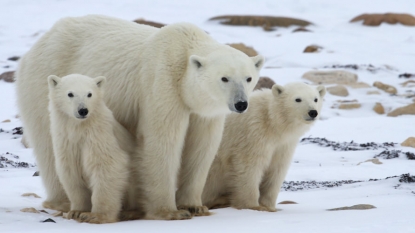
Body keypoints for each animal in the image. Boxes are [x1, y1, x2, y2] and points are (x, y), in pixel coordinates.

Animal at [48, 74, 135, 224]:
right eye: (70, 94)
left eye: (89, 94)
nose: (83, 110)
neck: (79, 127)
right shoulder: (66, 142)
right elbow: (71, 172)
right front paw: (76, 211)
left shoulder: (99, 136)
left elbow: (107, 166)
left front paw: (95, 216)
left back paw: (130, 212)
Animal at [203, 82, 326, 211]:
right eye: (298, 99)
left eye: (316, 99)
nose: (312, 112)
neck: (271, 121)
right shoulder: (253, 133)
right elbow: (249, 166)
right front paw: (253, 206)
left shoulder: (283, 145)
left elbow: (276, 169)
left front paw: (269, 206)